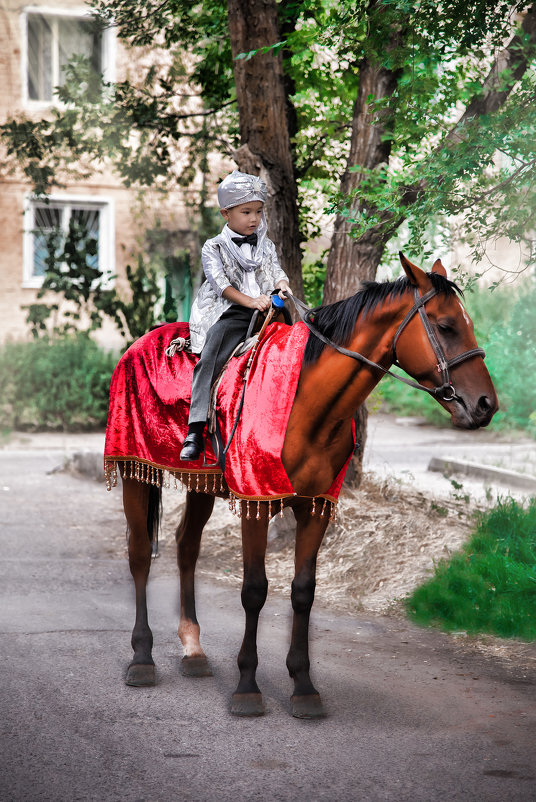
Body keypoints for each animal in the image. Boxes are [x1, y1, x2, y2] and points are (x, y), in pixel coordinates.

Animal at [112, 253, 498, 716]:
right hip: (132, 472)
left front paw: (303, 685)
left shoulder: (316, 507)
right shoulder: (256, 502)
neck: (308, 401)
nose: (486, 405)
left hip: (200, 485)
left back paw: (193, 648)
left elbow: (303, 592)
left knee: (186, 545)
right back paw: (141, 657)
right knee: (139, 555)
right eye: (446, 326)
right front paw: (247, 686)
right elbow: (255, 590)